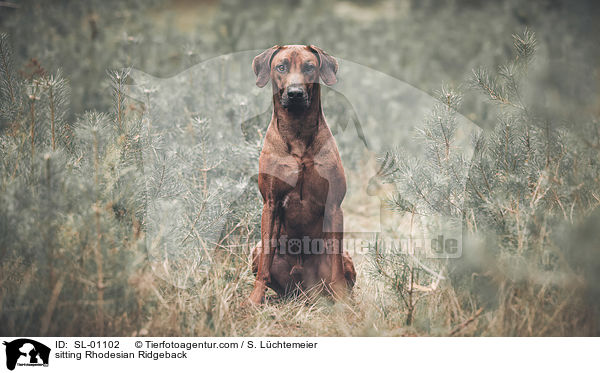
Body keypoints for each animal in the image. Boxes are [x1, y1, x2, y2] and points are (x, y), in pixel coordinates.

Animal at [248, 45, 356, 304]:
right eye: (281, 67)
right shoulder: (271, 203)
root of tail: (304, 294)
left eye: (309, 67)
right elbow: (265, 263)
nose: (295, 93)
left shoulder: (334, 206)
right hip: (257, 251)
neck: (297, 131)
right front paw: (254, 300)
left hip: (343, 258)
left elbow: (336, 268)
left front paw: (342, 303)